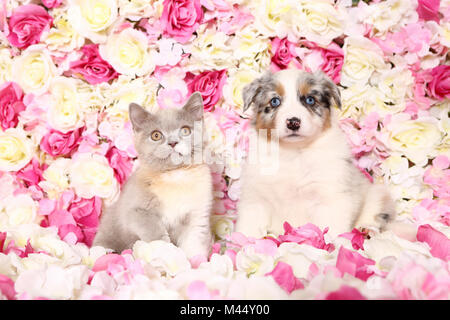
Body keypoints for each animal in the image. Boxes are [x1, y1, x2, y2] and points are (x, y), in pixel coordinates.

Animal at [92, 92, 214, 258]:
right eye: (156, 135)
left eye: (185, 130)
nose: (173, 142)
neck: (175, 176)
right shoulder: (136, 212)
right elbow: (155, 233)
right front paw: (165, 252)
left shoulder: (197, 215)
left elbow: (194, 241)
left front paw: (194, 261)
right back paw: (107, 252)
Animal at [234, 69, 396, 239]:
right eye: (275, 101)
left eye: (310, 100)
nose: (293, 122)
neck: (293, 152)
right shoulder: (256, 197)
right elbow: (249, 229)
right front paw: (241, 242)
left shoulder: (331, 196)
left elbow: (332, 230)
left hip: (377, 194)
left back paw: (366, 230)